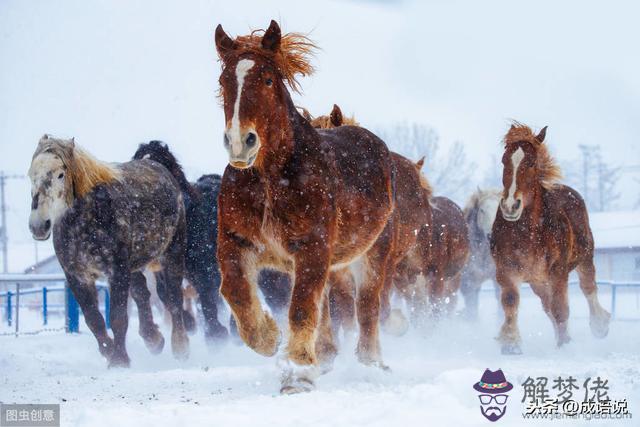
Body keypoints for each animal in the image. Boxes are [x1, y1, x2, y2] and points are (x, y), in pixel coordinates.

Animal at [215, 20, 396, 394]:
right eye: (224, 81)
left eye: (268, 79)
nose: (240, 143)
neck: (271, 181)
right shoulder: (236, 242)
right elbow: (235, 291)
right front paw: (269, 337)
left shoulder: (311, 247)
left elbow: (300, 307)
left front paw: (297, 373)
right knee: (326, 306)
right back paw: (323, 358)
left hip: (373, 253)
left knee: (367, 307)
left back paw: (370, 364)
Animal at [490, 123, 608, 354]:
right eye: (504, 160)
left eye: (531, 163)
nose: (510, 206)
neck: (528, 233)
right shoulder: (506, 270)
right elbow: (511, 302)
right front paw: (511, 343)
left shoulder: (558, 272)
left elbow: (561, 308)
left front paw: (564, 345)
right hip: (538, 281)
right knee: (547, 305)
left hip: (585, 259)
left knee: (588, 288)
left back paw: (600, 325)